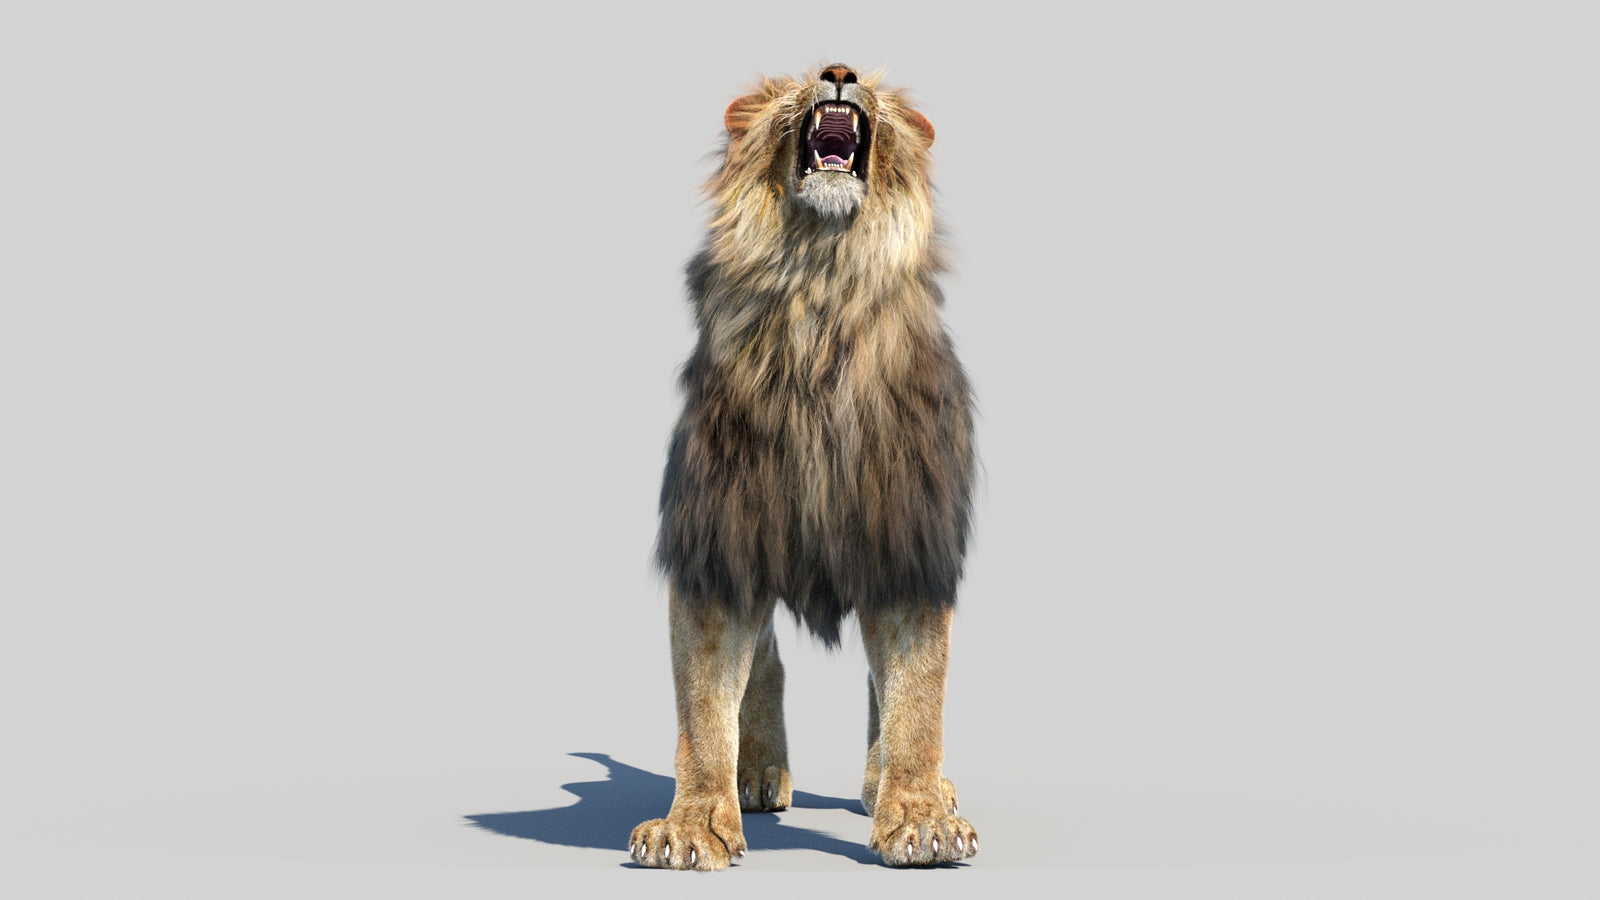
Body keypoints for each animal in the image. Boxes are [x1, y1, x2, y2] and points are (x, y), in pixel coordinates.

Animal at [629, 63, 977, 870]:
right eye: (790, 84)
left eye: (872, 82)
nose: (840, 72)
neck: (821, 289)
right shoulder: (720, 541)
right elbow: (703, 701)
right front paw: (693, 824)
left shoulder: (907, 542)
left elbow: (917, 694)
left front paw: (919, 818)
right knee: (764, 661)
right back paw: (756, 772)